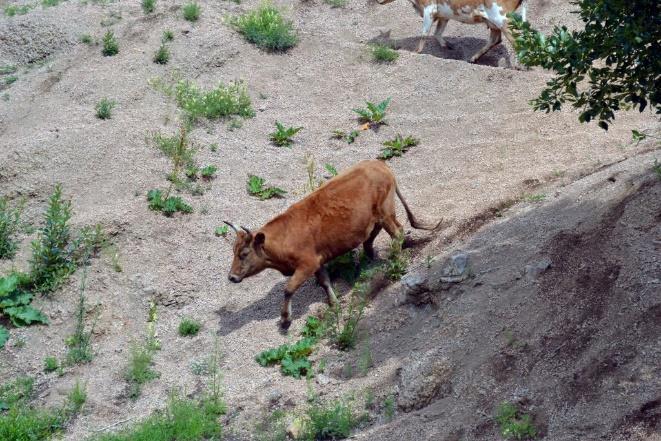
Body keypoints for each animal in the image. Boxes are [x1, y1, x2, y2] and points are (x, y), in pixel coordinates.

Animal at [224, 158, 440, 326]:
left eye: (244, 254)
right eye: (233, 251)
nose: (232, 277)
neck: (283, 238)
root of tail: (378, 164)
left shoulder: (307, 264)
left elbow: (288, 289)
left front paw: (285, 319)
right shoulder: (318, 261)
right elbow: (324, 282)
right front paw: (334, 303)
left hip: (386, 213)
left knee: (398, 234)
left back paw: (396, 262)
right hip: (375, 219)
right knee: (371, 238)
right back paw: (370, 261)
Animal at [376, 0, 524, 62]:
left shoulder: (429, 8)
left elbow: (424, 33)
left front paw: (417, 53)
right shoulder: (443, 14)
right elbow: (437, 32)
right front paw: (447, 46)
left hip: (502, 18)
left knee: (516, 40)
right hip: (493, 21)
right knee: (496, 39)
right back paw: (473, 58)